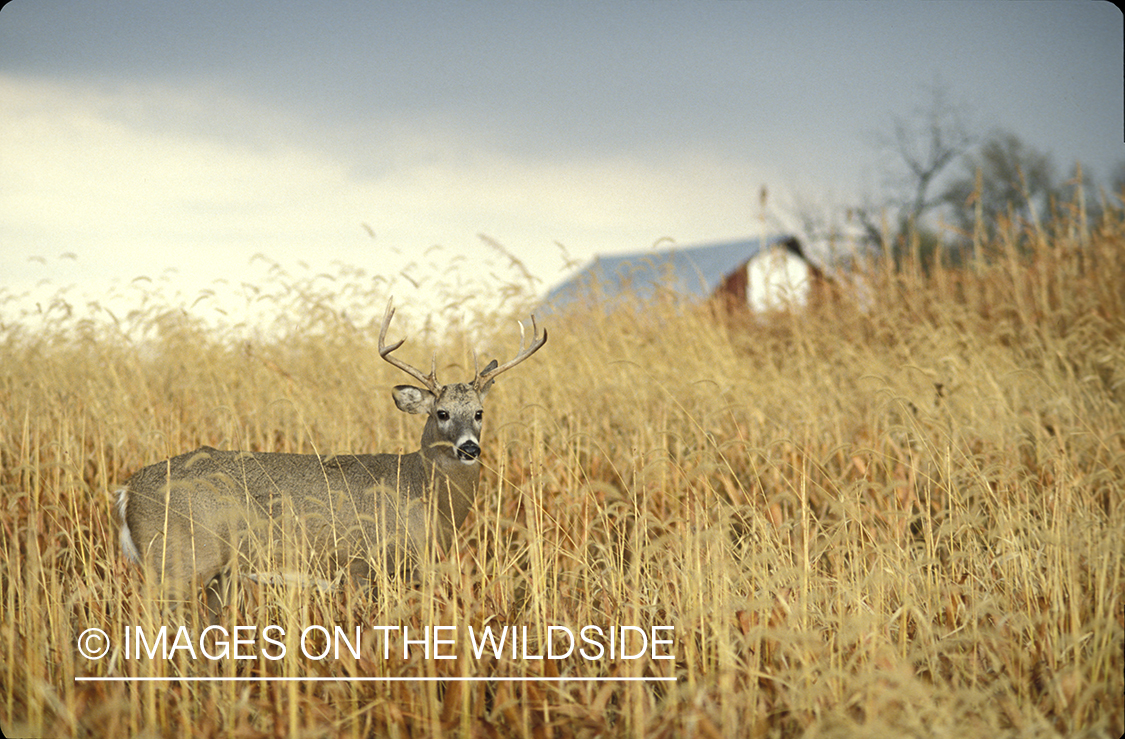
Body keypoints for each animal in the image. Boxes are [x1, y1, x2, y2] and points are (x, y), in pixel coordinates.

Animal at [115, 299, 549, 616]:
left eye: (479, 412)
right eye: (441, 413)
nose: (469, 448)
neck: (421, 489)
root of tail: (127, 491)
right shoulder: (362, 564)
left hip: (219, 574)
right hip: (177, 562)